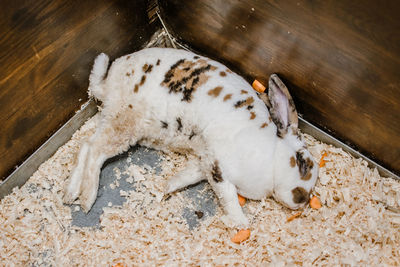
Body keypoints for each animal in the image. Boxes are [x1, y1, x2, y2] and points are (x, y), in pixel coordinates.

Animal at [63, 47, 318, 227]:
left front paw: (164, 189)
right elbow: (229, 199)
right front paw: (238, 223)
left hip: (114, 120)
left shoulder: (203, 163)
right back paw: (86, 199)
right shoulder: (218, 169)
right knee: (95, 151)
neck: (271, 155)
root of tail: (107, 84)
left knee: (86, 145)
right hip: (126, 124)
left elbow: (184, 178)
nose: (301, 199)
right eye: (302, 163)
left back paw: (70, 194)